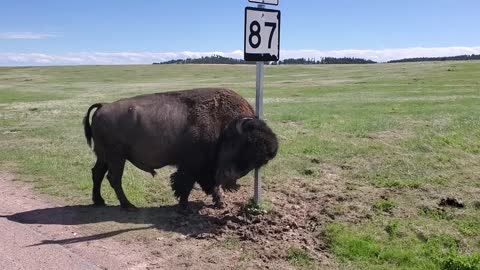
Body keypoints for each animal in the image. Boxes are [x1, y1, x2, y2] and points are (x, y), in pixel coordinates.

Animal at [82, 87, 278, 210]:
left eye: (259, 162)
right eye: (243, 145)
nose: (230, 177)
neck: (225, 125)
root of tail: (103, 106)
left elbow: (208, 184)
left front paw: (219, 202)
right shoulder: (193, 165)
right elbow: (186, 183)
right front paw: (184, 205)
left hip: (105, 156)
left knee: (97, 173)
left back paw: (99, 201)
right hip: (116, 157)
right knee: (114, 178)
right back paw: (129, 206)